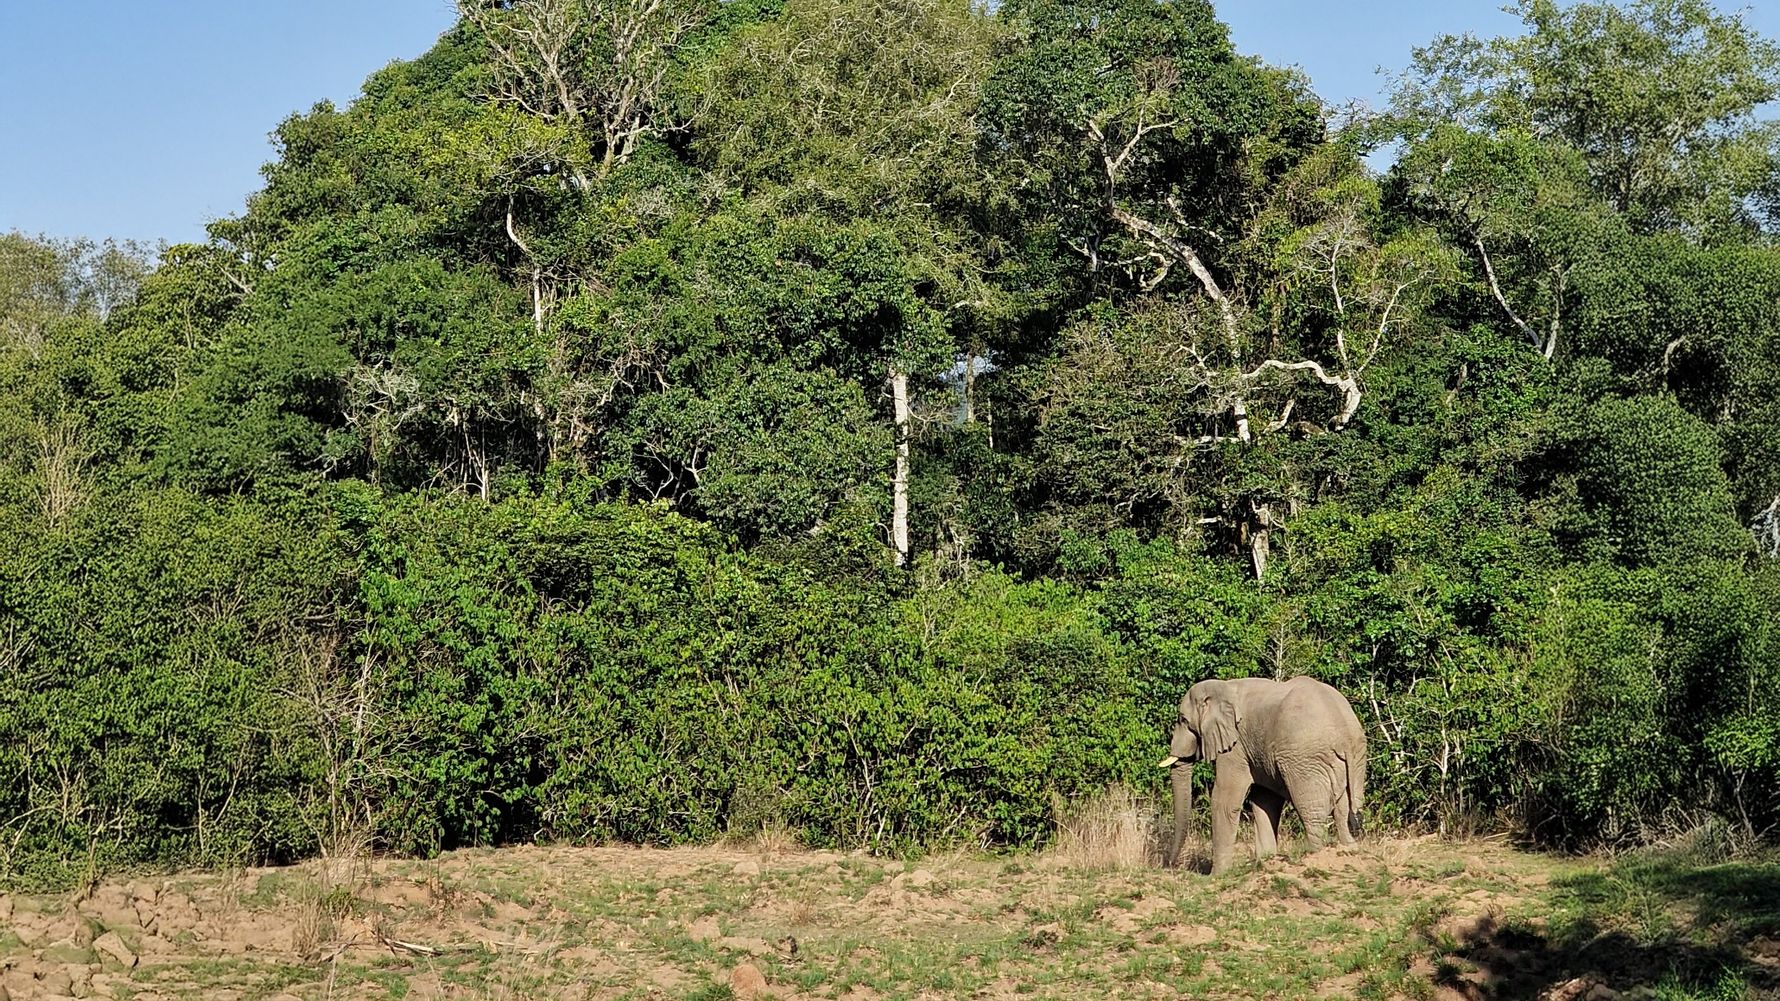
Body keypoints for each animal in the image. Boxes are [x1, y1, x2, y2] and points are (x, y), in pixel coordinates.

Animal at [1157, 676, 1367, 874]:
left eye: (1183, 720)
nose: (1168, 865)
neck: (1223, 687)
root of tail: (1347, 734)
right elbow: (1265, 801)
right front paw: (1266, 860)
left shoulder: (1236, 747)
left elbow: (1224, 799)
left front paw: (1217, 876)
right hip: (1344, 762)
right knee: (1341, 808)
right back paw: (1349, 849)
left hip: (1306, 760)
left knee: (1311, 809)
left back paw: (1313, 855)